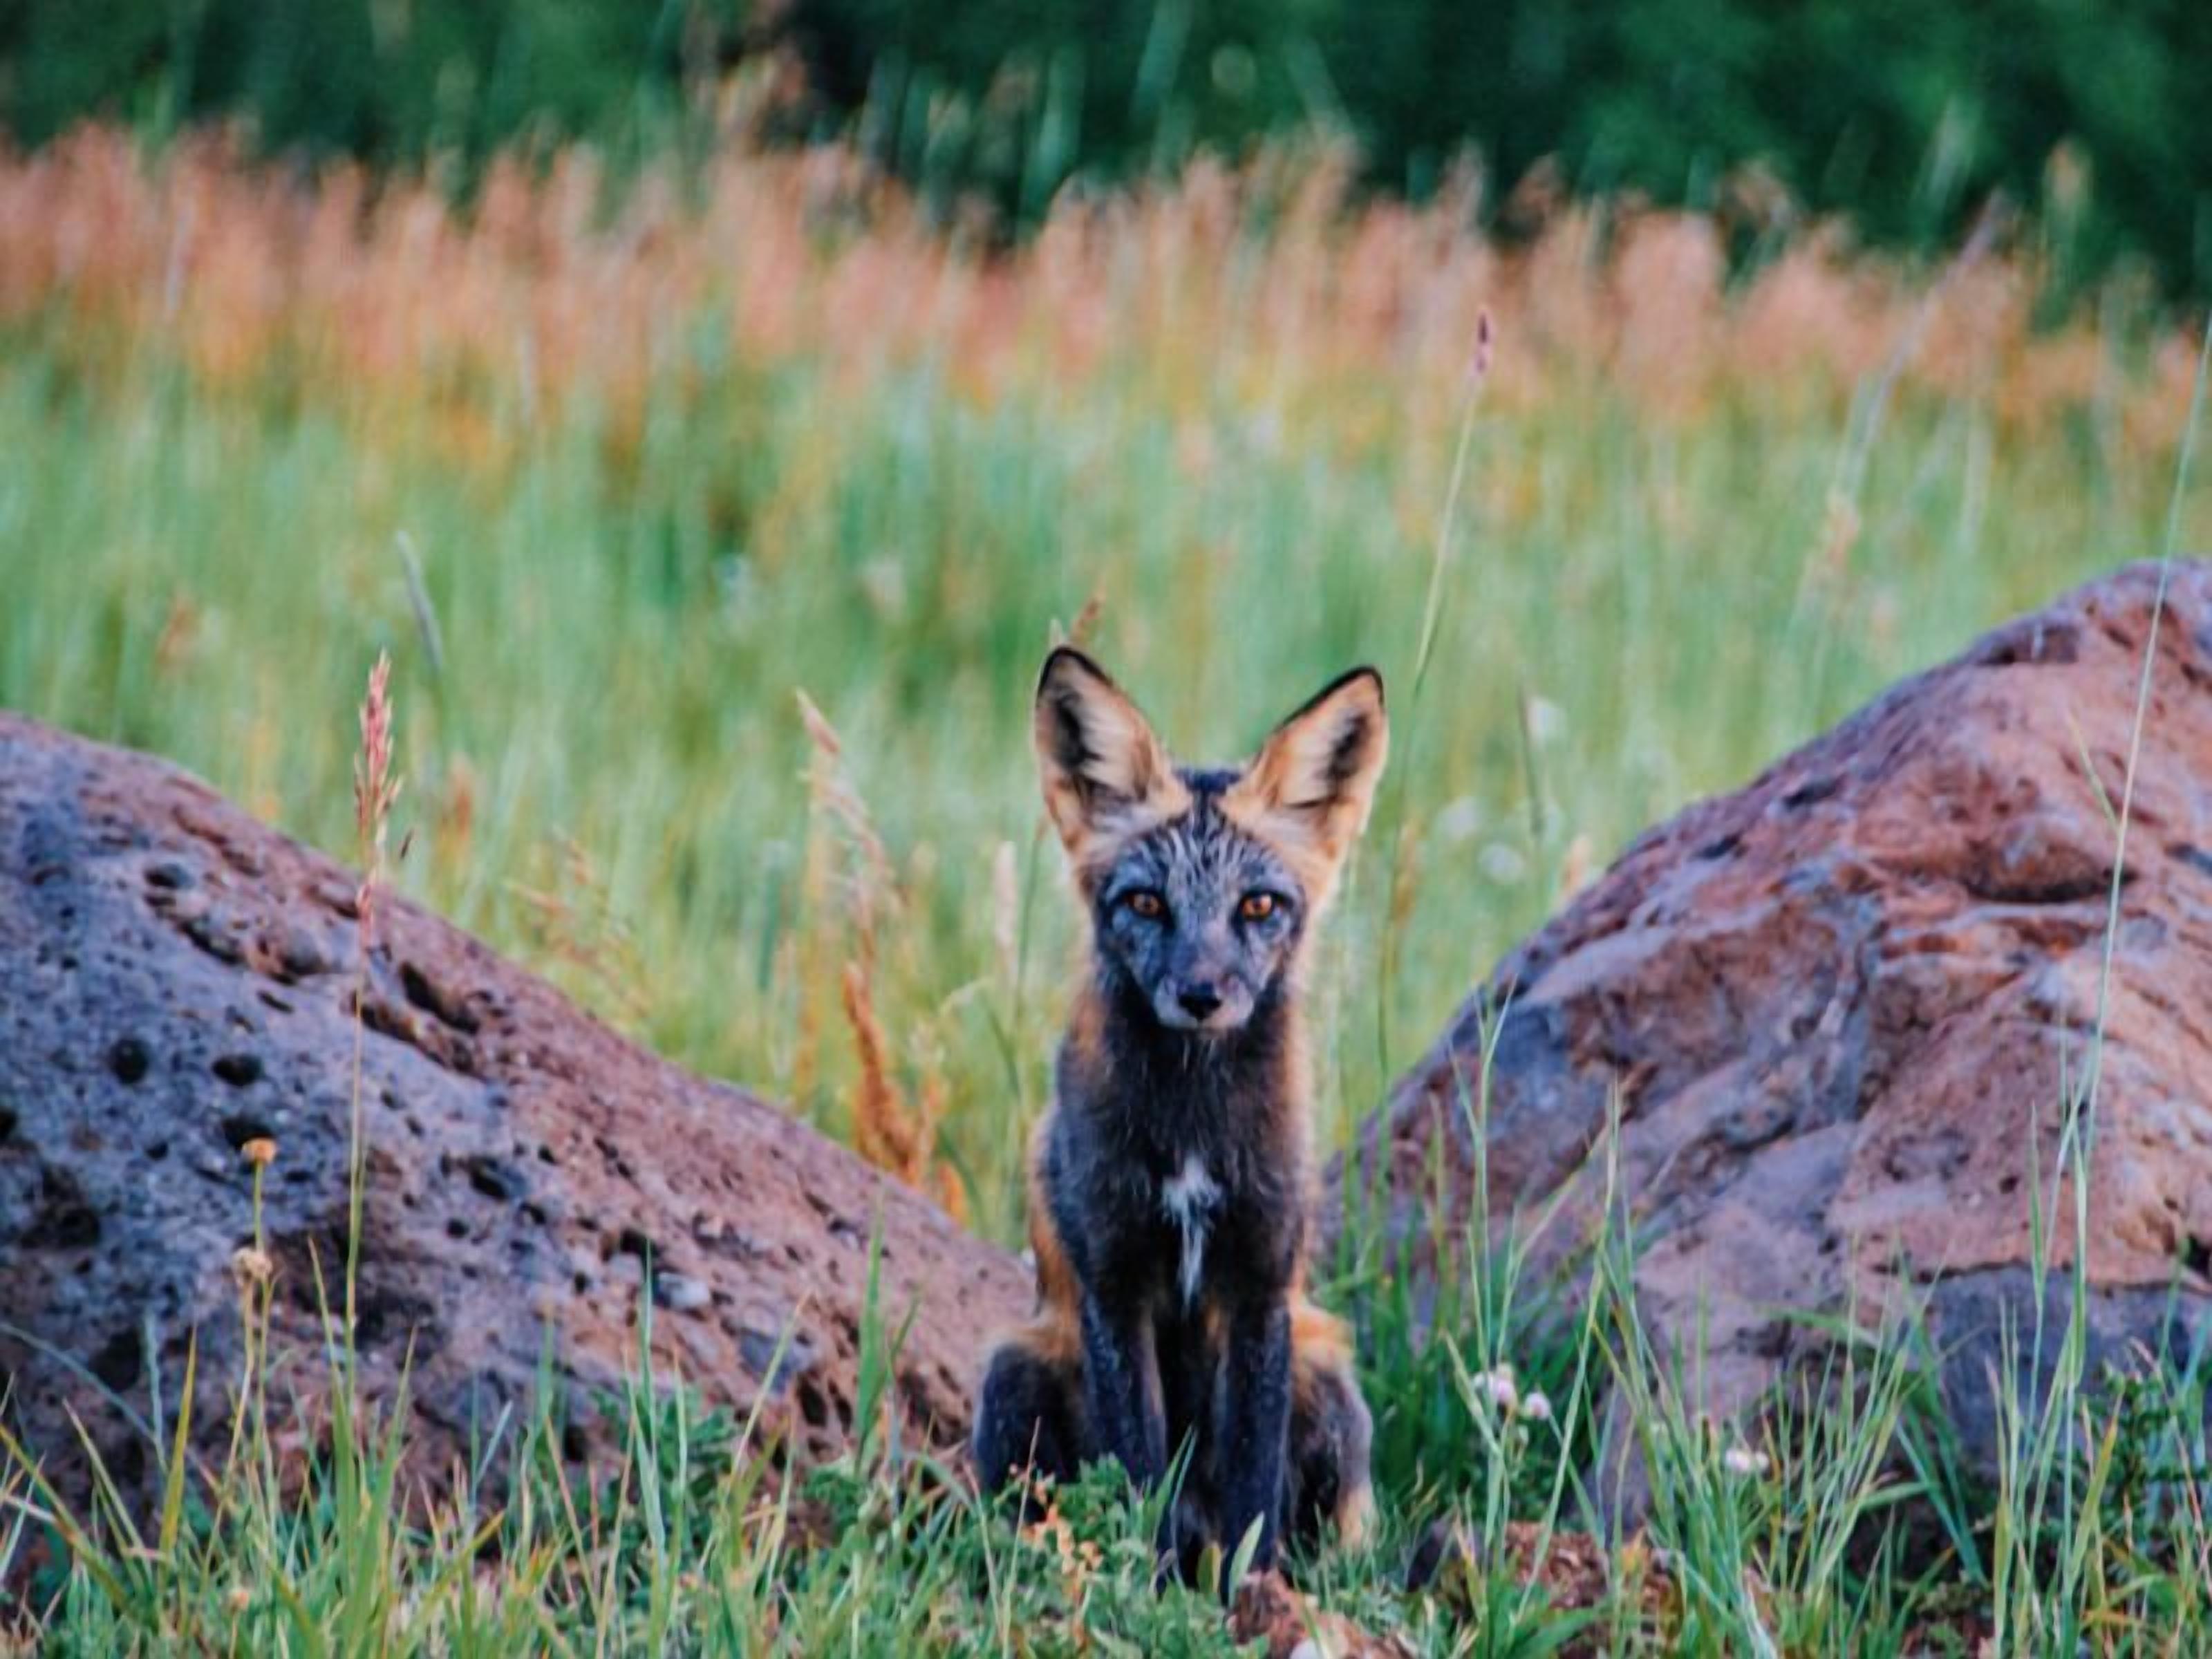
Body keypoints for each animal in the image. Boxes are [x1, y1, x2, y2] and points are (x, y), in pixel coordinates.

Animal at [971, 646, 1387, 1578]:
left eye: (1257, 905)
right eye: (1147, 903)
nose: (1200, 996)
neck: (1195, 1136)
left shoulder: (1259, 1287)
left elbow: (1253, 1494)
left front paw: (1250, 1596)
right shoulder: (1113, 1285)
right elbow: (1137, 1475)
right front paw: (1152, 1592)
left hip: (1329, 1379)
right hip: (1014, 1374)